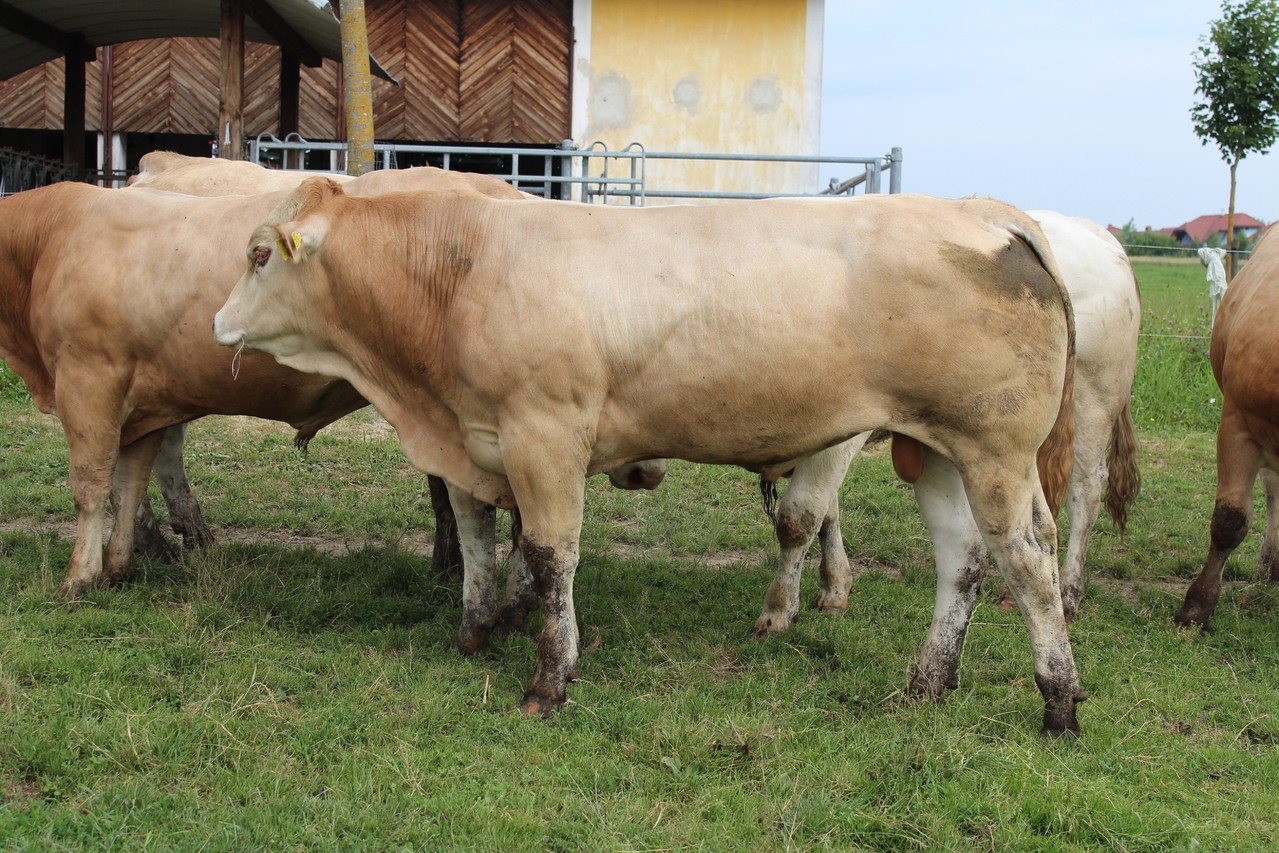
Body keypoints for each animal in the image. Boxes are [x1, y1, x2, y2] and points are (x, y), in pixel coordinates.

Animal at [214, 179, 1084, 736]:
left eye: (258, 254)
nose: (218, 322)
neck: (461, 270)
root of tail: (983, 214)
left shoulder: (544, 435)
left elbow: (551, 554)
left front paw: (549, 678)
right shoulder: (478, 441)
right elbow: (479, 538)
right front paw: (477, 629)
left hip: (996, 451)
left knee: (1027, 562)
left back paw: (1057, 701)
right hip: (934, 448)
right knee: (961, 560)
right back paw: (927, 683)